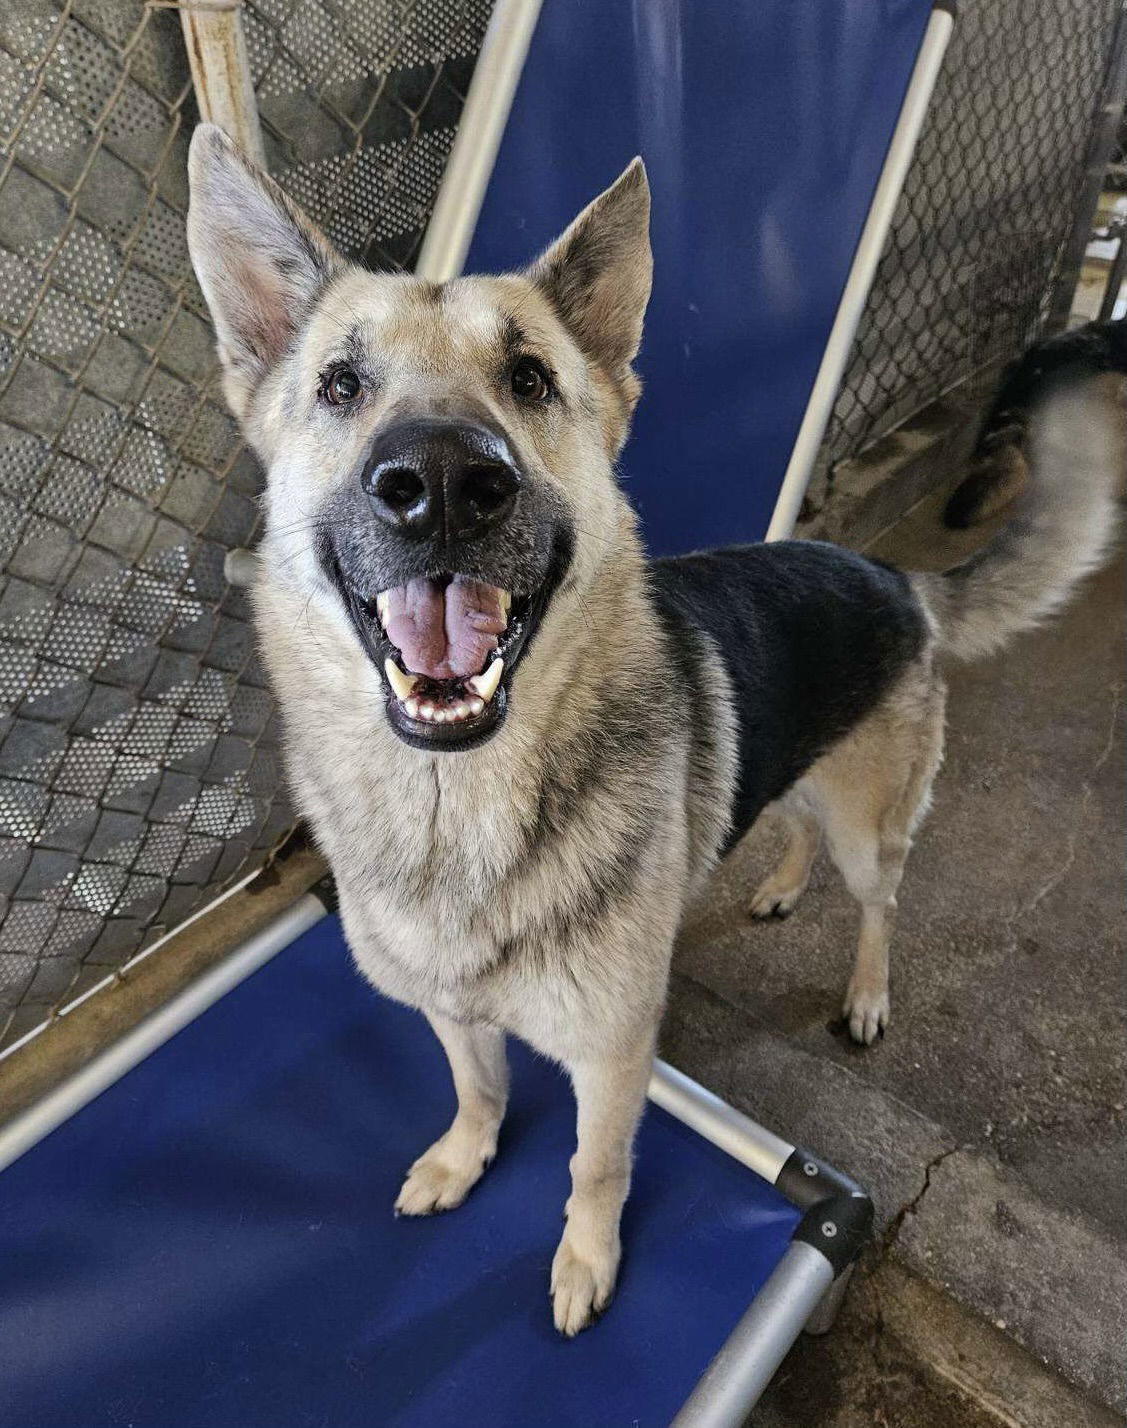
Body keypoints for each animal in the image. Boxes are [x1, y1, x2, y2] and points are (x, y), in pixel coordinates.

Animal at [184, 125, 1114, 1336]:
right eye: (340, 385)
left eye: (529, 379)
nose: (441, 482)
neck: (455, 811)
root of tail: (892, 577)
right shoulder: (451, 1012)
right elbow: (476, 1088)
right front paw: (462, 1159)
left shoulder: (613, 1054)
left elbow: (595, 1165)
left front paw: (586, 1260)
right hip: (798, 777)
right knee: (790, 825)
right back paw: (776, 885)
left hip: (871, 824)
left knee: (878, 901)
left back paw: (865, 993)